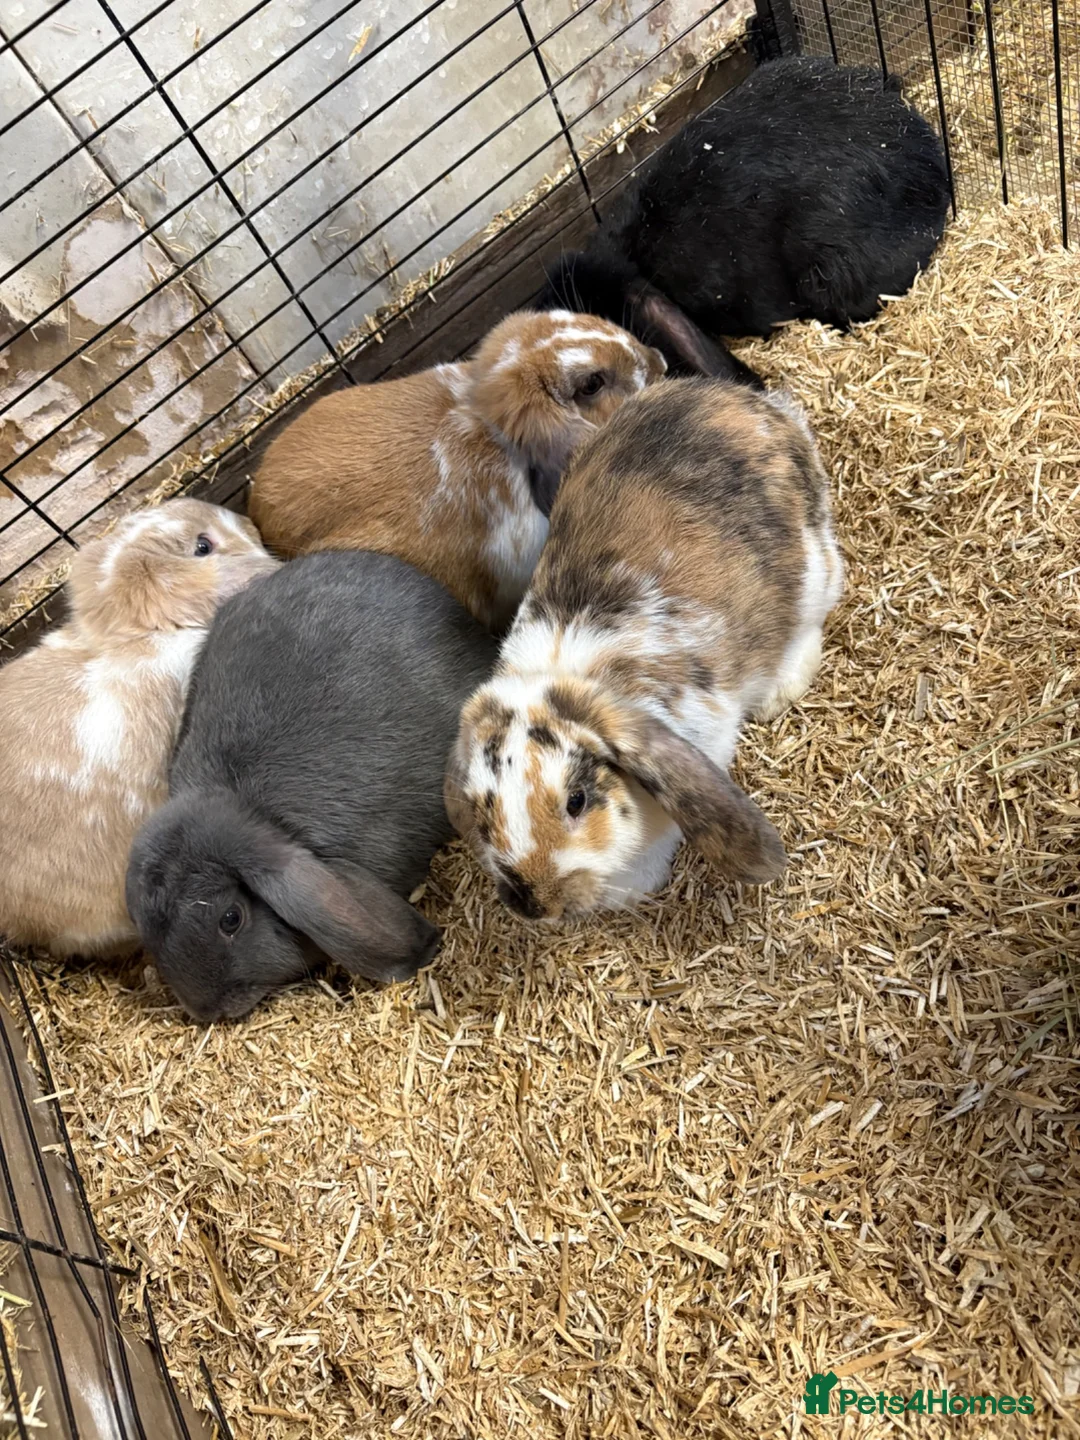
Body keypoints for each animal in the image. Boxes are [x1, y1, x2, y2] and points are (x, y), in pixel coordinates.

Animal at [444, 378, 844, 921]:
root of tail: (762, 407)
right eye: (483, 817)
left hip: (814, 570)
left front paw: (634, 888)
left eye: (576, 800)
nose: (535, 904)